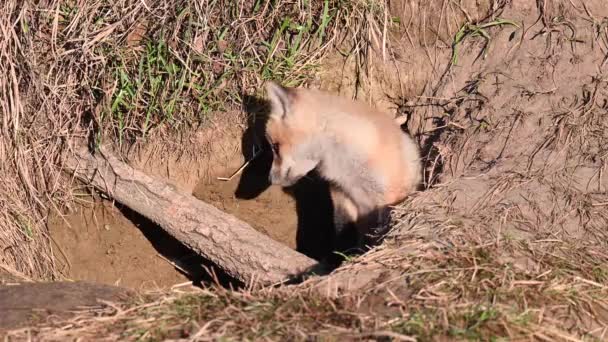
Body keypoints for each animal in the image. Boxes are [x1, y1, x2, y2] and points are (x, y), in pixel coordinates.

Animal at [264, 80, 420, 248]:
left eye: (275, 147)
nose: (270, 179)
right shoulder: (341, 193)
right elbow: (342, 229)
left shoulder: (387, 198)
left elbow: (379, 231)